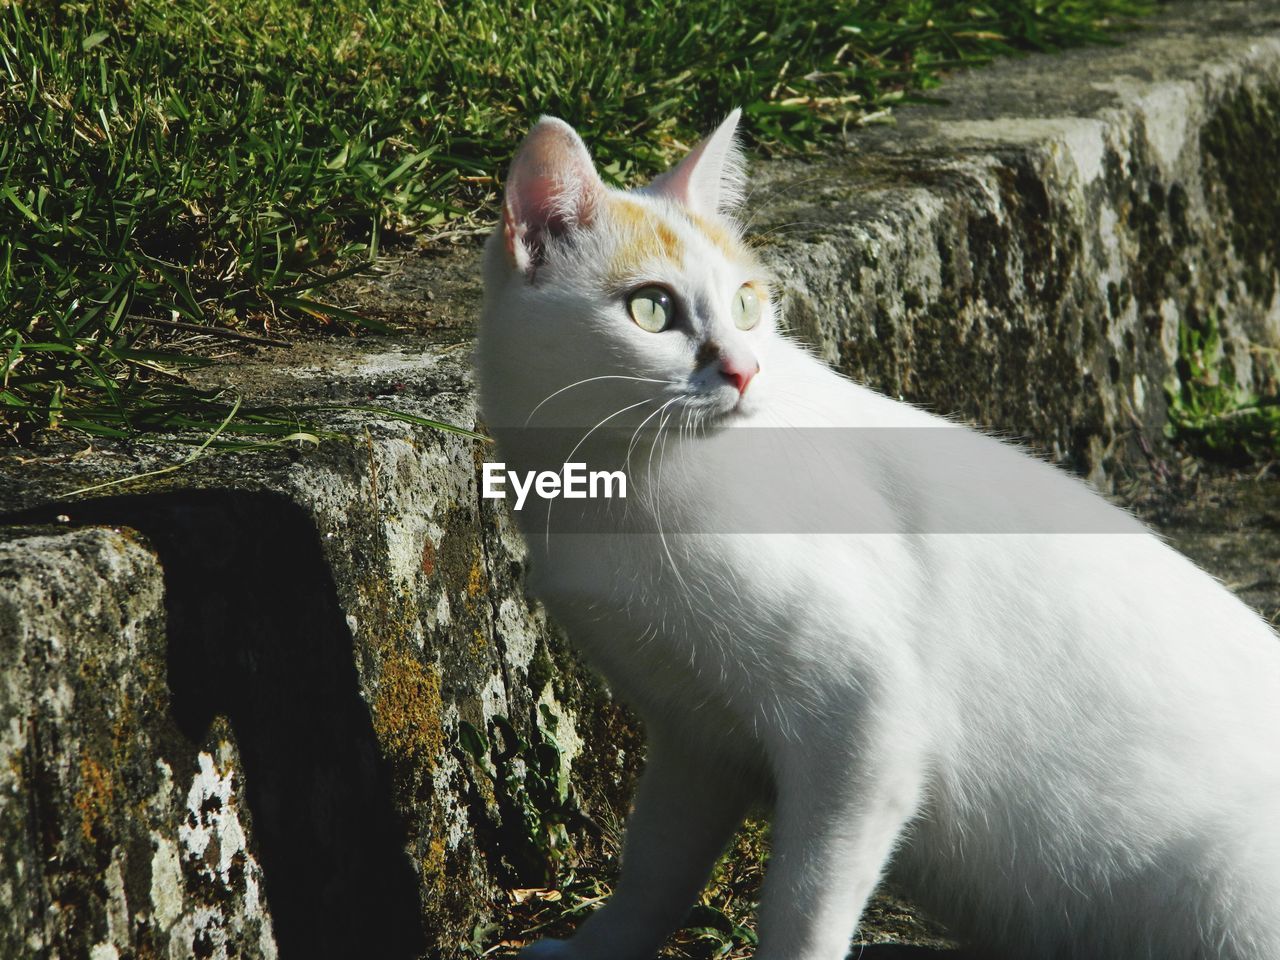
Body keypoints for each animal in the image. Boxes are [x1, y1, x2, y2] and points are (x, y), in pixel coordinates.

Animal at [478, 112, 1280, 960]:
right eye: (652, 310)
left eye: (746, 303)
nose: (744, 370)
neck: (625, 485)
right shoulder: (694, 735)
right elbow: (655, 865)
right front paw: (596, 947)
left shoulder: (865, 726)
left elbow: (802, 904)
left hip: (1233, 895)